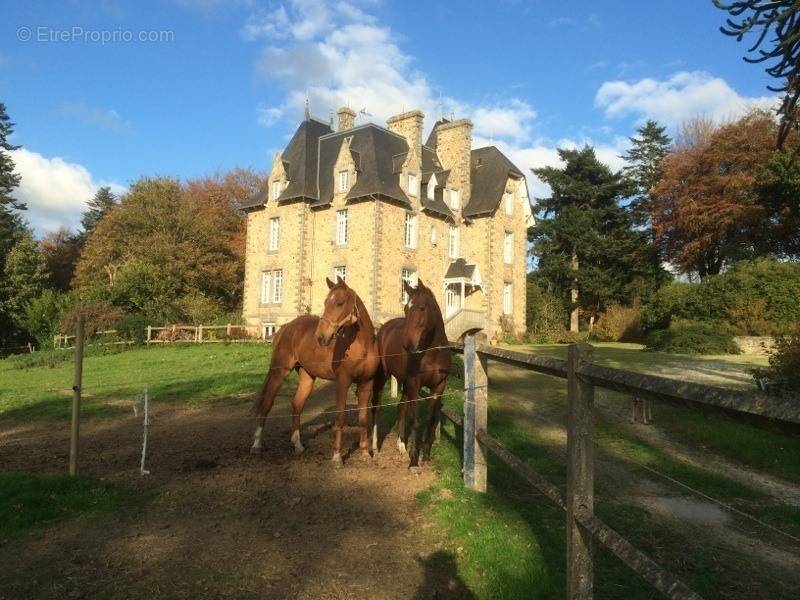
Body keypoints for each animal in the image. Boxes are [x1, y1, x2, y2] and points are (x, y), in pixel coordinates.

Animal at [255, 276, 382, 464]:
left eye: (339, 303)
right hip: (279, 371)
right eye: (325, 302)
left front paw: (365, 453)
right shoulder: (343, 382)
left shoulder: (366, 383)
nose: (321, 337)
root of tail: (286, 327)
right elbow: (340, 417)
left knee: (297, 405)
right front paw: (337, 456)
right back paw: (256, 445)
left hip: (307, 376)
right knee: (267, 403)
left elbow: (363, 418)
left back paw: (298, 445)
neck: (363, 346)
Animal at [374, 278, 450, 472]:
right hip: (384, 376)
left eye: (422, 308)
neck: (432, 353)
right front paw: (414, 461)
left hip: (405, 382)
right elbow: (415, 419)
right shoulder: (415, 384)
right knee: (377, 405)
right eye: (406, 309)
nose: (407, 346)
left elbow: (429, 420)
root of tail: (384, 327)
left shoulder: (438, 386)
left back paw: (401, 445)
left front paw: (426, 455)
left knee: (401, 407)